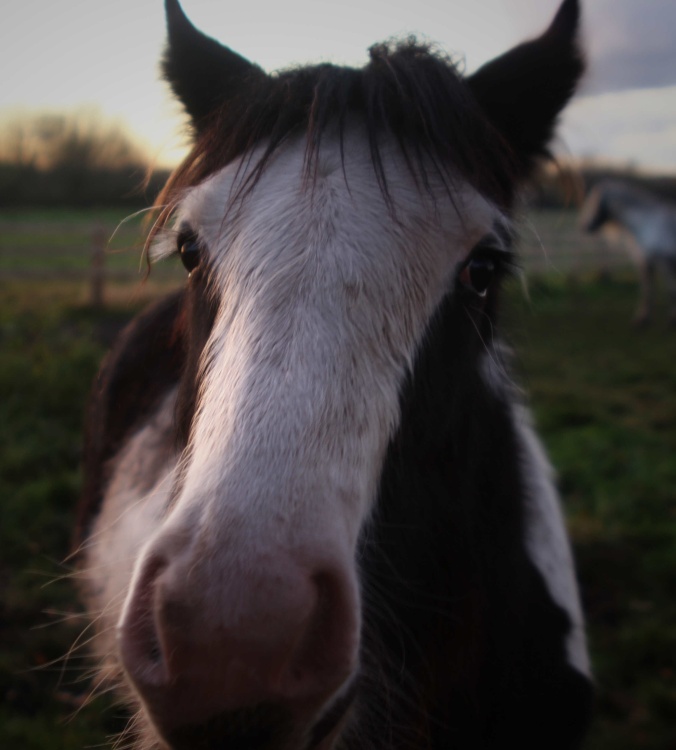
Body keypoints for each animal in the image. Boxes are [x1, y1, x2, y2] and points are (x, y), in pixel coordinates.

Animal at [580, 178, 676, 325]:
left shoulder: (664, 261)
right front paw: (643, 318)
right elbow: (648, 290)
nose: (584, 226)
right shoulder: (646, 261)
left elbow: (669, 290)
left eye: (592, 203)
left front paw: (669, 317)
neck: (646, 224)